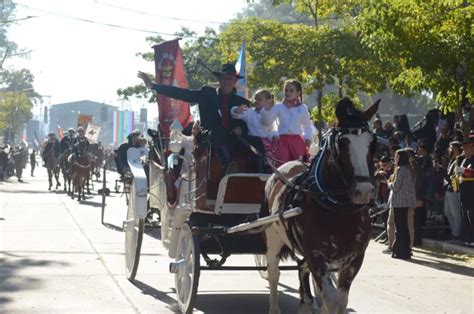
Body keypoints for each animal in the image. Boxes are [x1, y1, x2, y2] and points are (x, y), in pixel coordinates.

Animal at [262, 97, 378, 312]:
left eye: (372, 142)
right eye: (343, 142)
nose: (364, 191)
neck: (339, 210)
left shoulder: (354, 259)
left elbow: (340, 300)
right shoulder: (316, 255)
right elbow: (331, 298)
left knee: (302, 271)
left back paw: (306, 302)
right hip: (273, 238)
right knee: (274, 274)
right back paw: (275, 307)